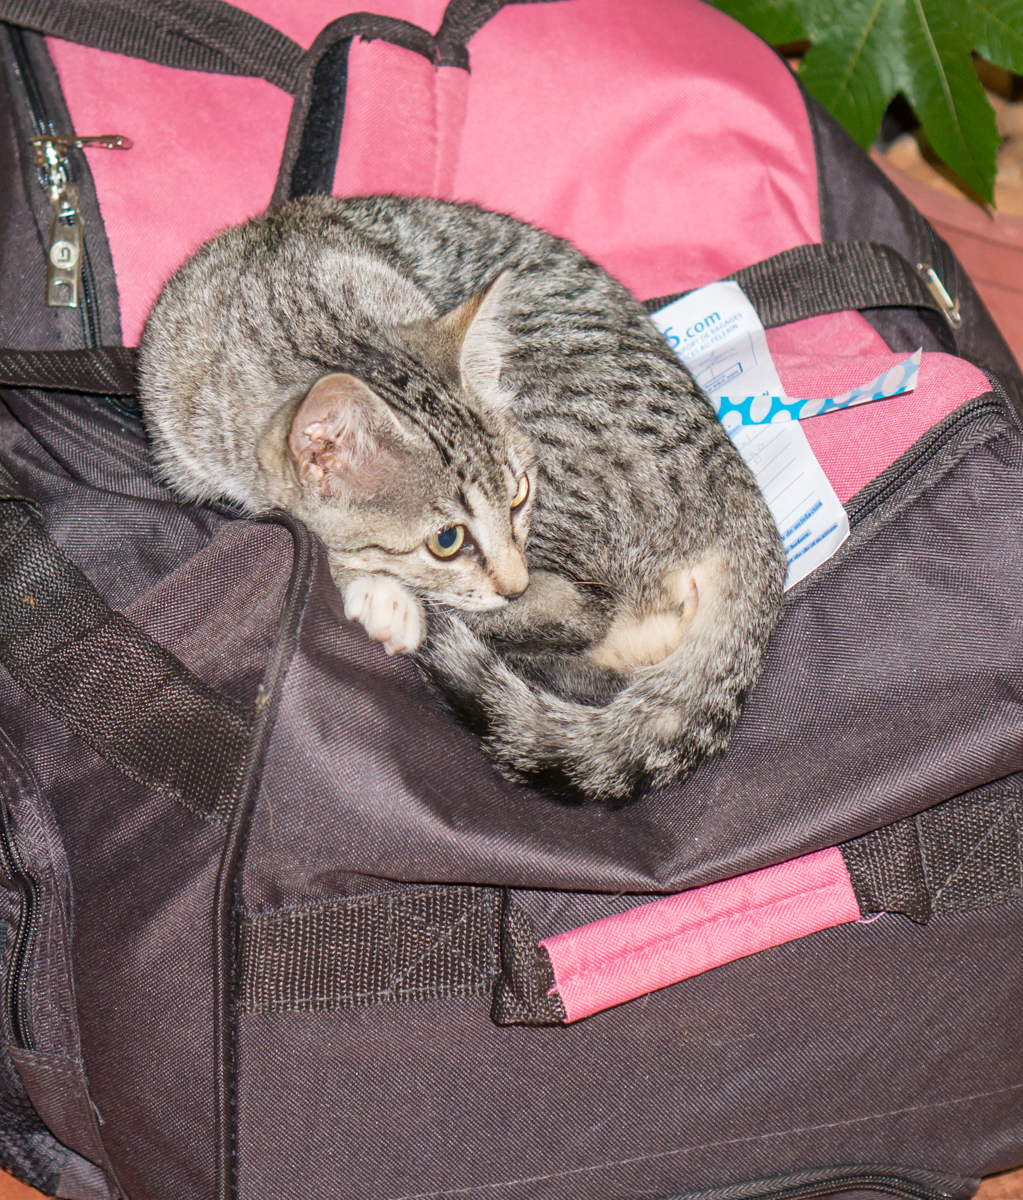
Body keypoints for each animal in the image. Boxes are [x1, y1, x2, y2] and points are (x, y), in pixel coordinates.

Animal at [139, 194, 787, 796]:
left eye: (520, 494)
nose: (516, 583)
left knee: (586, 615)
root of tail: (743, 505)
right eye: (447, 540)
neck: (288, 304)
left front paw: (380, 593)